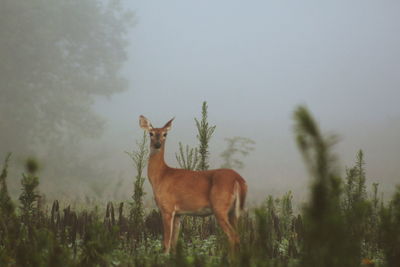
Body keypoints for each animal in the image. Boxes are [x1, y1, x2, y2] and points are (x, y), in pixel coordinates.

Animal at [139, 115, 248, 253]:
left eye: (165, 134)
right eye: (151, 133)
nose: (157, 144)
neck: (161, 176)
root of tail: (238, 180)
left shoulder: (167, 207)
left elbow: (166, 244)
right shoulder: (178, 213)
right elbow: (174, 243)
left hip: (220, 207)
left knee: (233, 236)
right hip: (234, 211)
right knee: (239, 235)